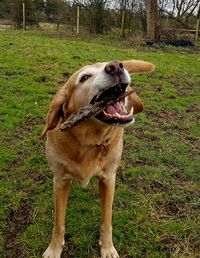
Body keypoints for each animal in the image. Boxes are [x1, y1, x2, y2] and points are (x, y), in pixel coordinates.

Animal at [41, 59, 155, 256]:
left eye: (110, 64)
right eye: (84, 77)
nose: (116, 66)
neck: (88, 141)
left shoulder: (108, 179)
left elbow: (106, 221)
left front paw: (107, 247)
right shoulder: (60, 181)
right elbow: (58, 223)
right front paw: (54, 249)